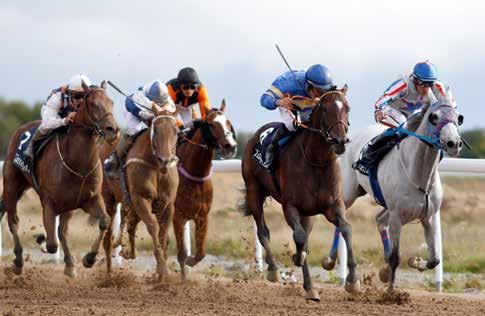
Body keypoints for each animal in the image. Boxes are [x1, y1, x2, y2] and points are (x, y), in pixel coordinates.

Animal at [0, 81, 119, 276]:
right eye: (93, 104)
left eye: (111, 102)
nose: (113, 130)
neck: (77, 162)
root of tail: (20, 130)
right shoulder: (49, 203)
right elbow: (51, 244)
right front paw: (41, 239)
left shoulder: (89, 199)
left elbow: (104, 222)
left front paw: (89, 259)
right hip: (12, 185)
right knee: (13, 222)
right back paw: (18, 261)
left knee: (61, 231)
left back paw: (70, 264)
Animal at [99, 105, 180, 278]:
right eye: (156, 129)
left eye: (176, 130)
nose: (165, 160)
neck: (156, 167)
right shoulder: (140, 199)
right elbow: (153, 227)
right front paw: (163, 269)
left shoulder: (168, 204)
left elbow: (163, 234)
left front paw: (160, 276)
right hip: (109, 200)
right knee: (108, 238)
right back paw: (108, 275)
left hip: (129, 204)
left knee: (130, 225)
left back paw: (127, 251)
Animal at [119, 100, 236, 280]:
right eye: (211, 124)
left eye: (228, 122)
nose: (230, 147)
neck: (195, 173)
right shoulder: (178, 216)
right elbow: (180, 251)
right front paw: (179, 274)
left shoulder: (202, 215)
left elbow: (201, 252)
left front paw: (187, 266)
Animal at [239, 87, 360, 302]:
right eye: (325, 108)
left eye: (347, 107)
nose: (340, 141)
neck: (316, 160)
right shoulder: (290, 206)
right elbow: (300, 238)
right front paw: (304, 273)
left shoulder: (333, 205)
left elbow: (346, 229)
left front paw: (352, 281)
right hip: (254, 191)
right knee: (263, 231)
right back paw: (274, 270)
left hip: (308, 213)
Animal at [324, 95, 464, 292]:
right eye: (434, 117)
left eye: (459, 118)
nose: (454, 143)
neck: (419, 175)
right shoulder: (397, 218)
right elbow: (396, 257)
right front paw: (390, 292)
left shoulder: (427, 217)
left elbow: (434, 260)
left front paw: (415, 261)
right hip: (350, 193)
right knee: (341, 221)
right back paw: (335, 266)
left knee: (379, 220)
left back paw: (382, 270)